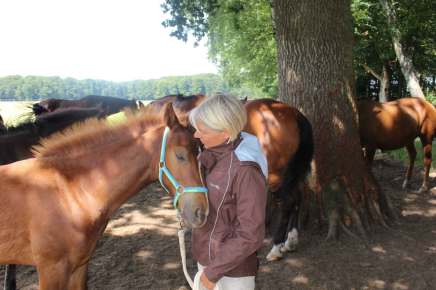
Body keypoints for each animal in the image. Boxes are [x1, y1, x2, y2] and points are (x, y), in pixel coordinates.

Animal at [0, 103, 207, 290]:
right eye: (180, 155)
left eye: (199, 152)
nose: (201, 212)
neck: (67, 192)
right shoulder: (51, 270)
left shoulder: (80, 267)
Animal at [146, 95, 314, 260]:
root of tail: (296, 115)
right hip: (293, 174)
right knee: (299, 197)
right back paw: (291, 240)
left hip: (276, 176)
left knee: (288, 203)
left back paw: (276, 247)